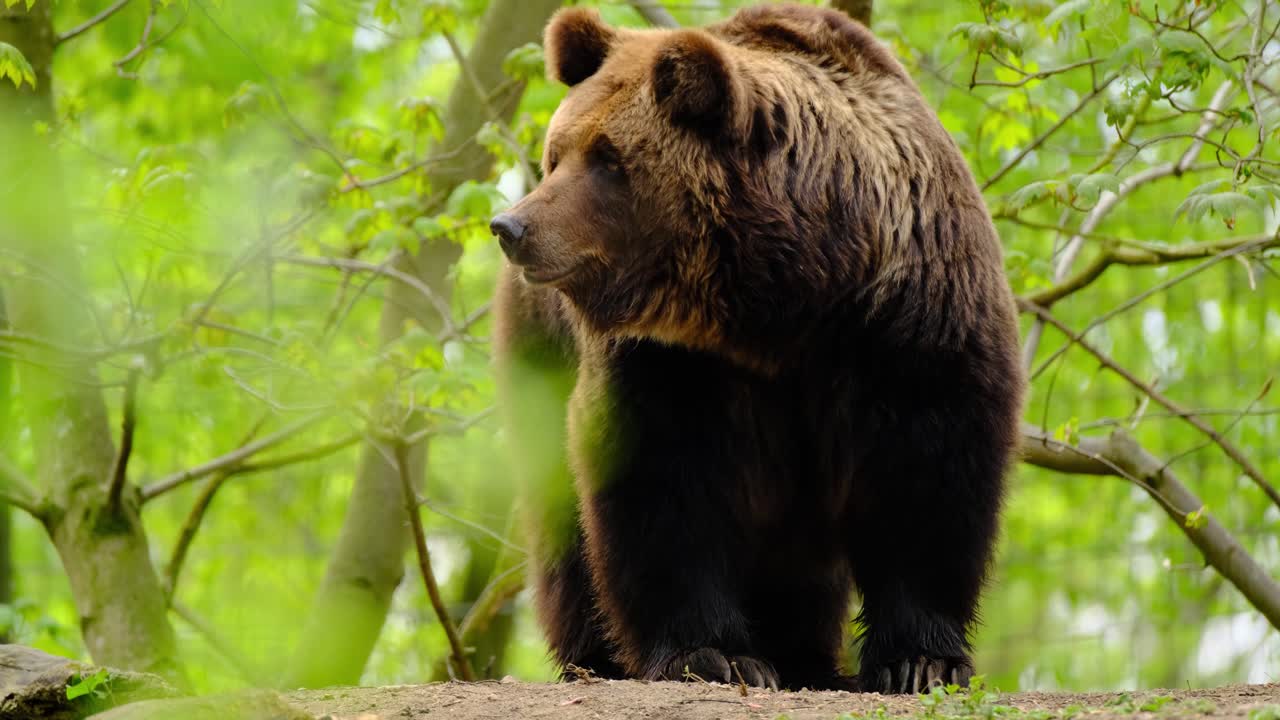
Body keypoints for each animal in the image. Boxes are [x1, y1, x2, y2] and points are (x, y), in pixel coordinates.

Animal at [489, 3, 1025, 694]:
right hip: (541, 347)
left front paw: (921, 660)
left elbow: (928, 473)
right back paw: (595, 656)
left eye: (607, 157)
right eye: (558, 153)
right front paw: (712, 653)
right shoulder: (668, 361)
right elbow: (662, 481)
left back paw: (809, 657)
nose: (512, 226)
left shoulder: (912, 321)